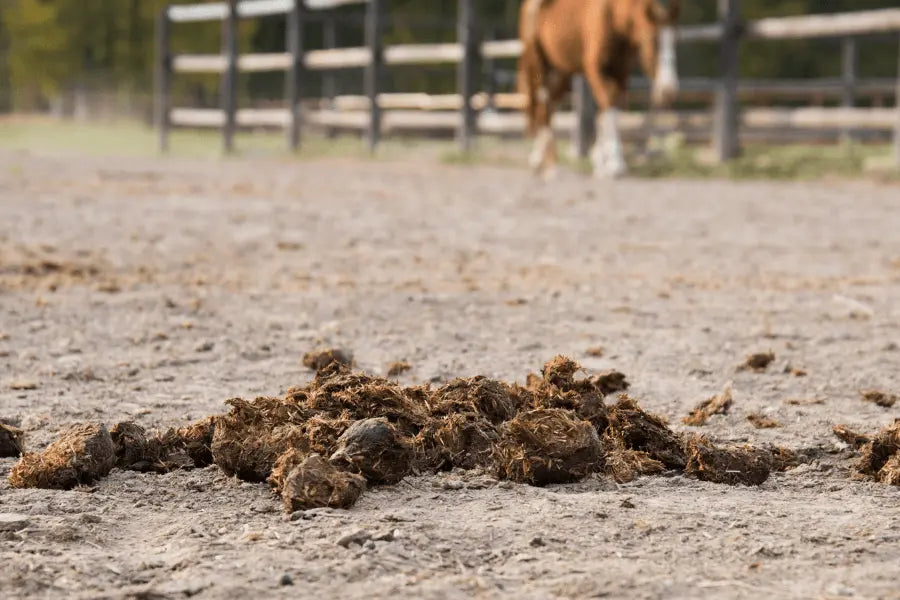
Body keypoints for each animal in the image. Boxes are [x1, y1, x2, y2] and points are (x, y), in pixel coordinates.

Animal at [518, 0, 682, 178]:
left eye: (675, 41)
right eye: (653, 40)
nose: (668, 90)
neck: (613, 17)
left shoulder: (621, 73)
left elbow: (609, 111)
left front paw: (600, 161)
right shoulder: (594, 69)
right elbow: (607, 106)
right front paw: (615, 164)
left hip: (563, 73)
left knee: (546, 108)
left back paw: (539, 160)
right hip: (538, 65)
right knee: (543, 106)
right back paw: (550, 165)